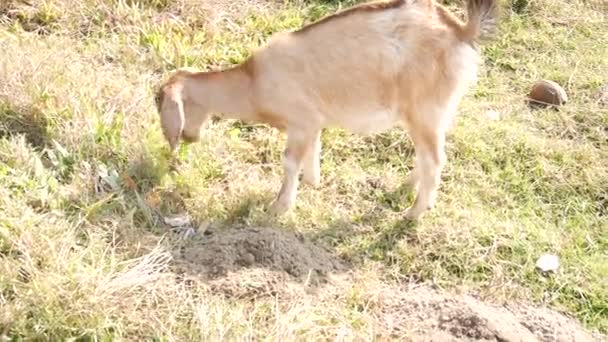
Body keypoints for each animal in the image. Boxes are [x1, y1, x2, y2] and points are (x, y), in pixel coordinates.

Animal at [156, 0, 498, 219]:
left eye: (162, 107)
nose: (186, 139)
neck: (252, 82)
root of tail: (461, 31)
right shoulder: (313, 123)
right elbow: (313, 150)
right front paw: (313, 183)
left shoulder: (300, 121)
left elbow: (289, 162)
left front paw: (279, 206)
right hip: (435, 114)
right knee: (427, 156)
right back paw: (406, 187)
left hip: (425, 111)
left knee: (435, 160)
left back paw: (413, 213)